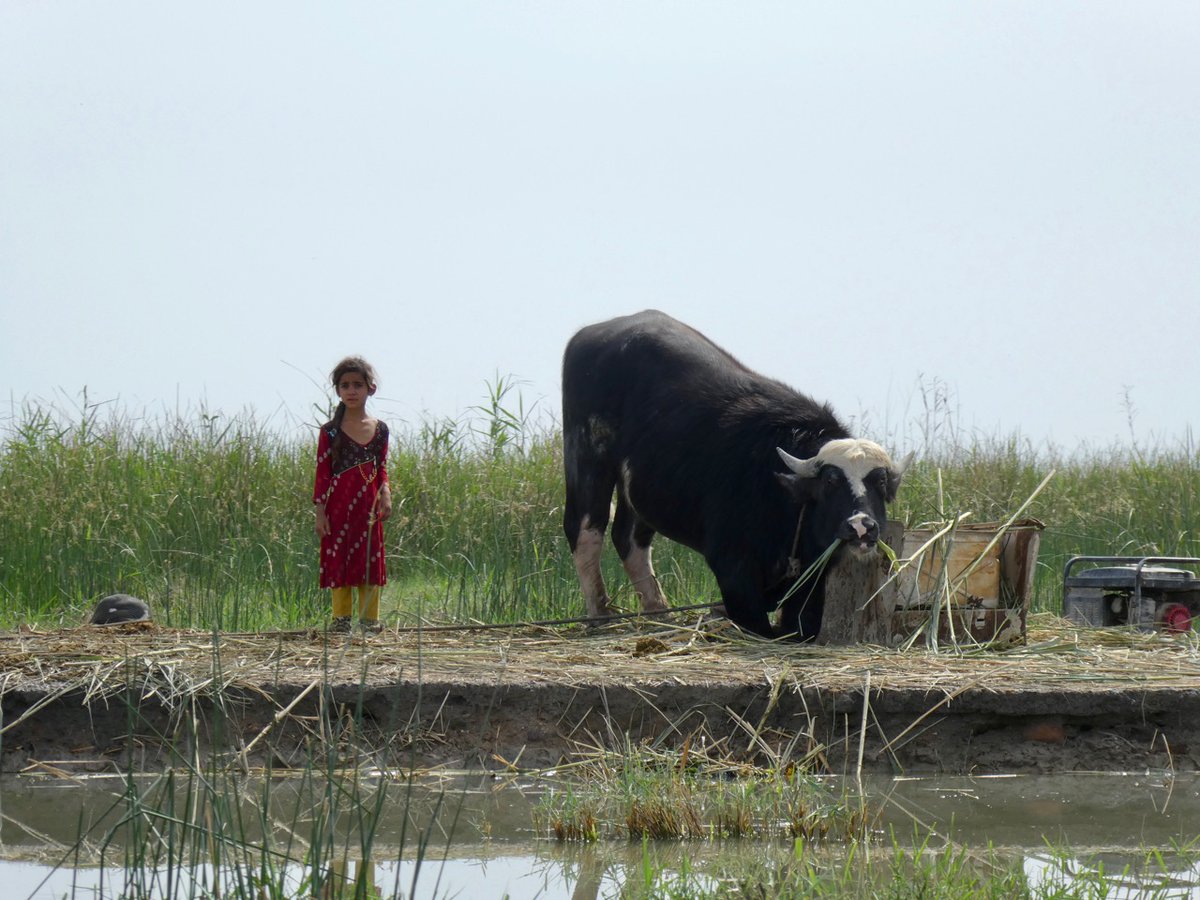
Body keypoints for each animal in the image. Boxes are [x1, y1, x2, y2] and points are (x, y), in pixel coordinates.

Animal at [561, 309, 907, 643]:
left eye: (879, 483)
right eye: (831, 481)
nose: (861, 526)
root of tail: (589, 335)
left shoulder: (812, 577)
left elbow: (803, 629)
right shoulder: (732, 567)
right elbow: (757, 625)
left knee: (629, 538)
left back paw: (659, 611)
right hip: (587, 457)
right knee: (585, 529)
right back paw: (600, 616)